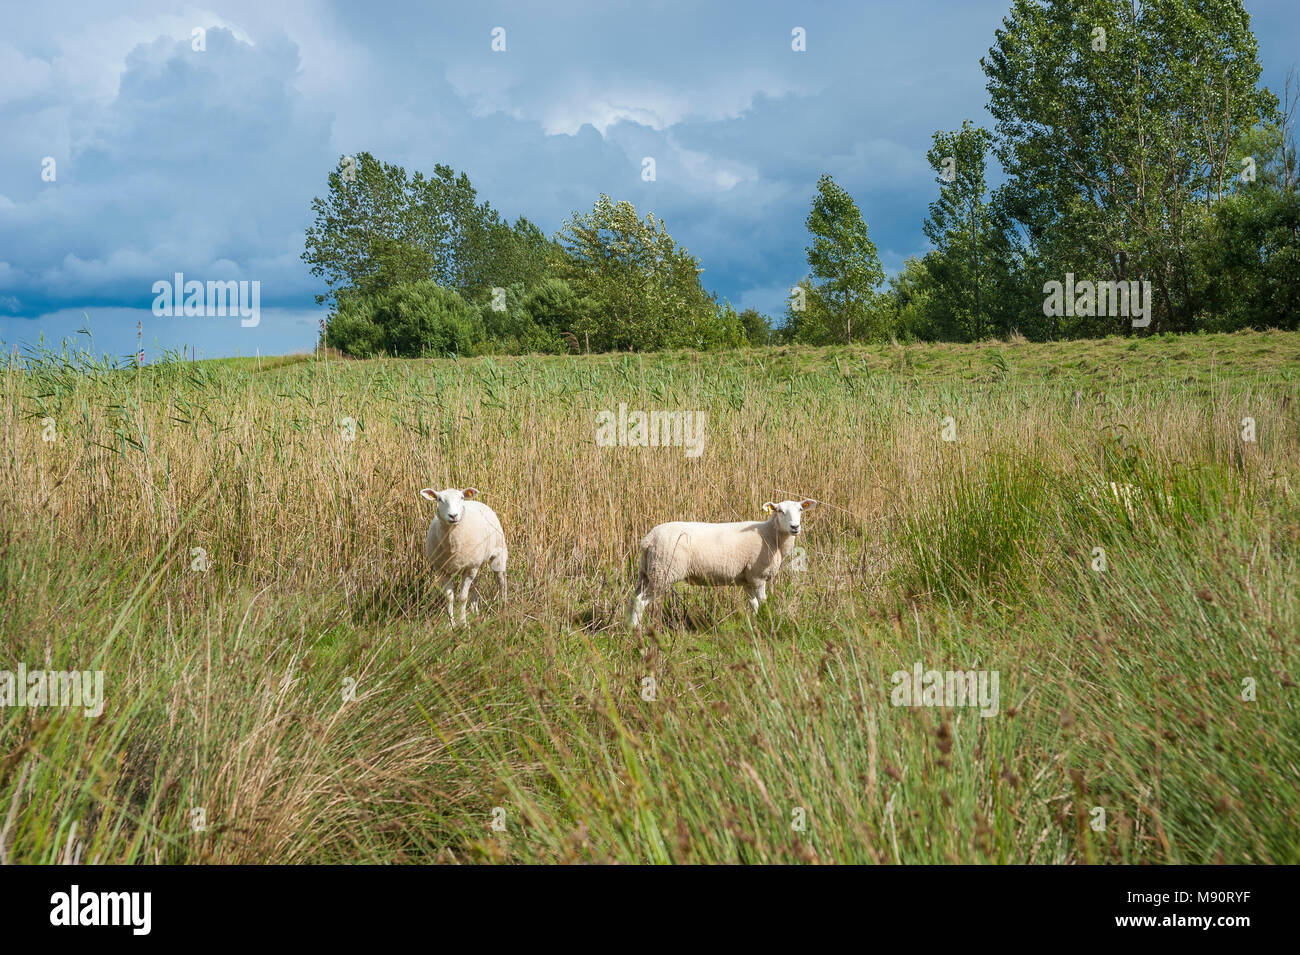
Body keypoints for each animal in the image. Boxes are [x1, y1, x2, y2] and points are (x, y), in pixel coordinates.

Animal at [419, 486, 508, 624]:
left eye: (461, 498)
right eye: (439, 499)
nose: (453, 515)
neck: (453, 544)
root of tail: (474, 501)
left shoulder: (469, 569)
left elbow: (462, 597)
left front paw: (463, 623)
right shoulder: (442, 570)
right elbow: (449, 597)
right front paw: (451, 624)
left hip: (498, 554)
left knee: (502, 580)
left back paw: (503, 606)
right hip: (476, 562)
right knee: (476, 583)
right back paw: (474, 609)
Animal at [628, 498, 817, 628]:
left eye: (800, 509)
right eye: (779, 511)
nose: (795, 527)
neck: (771, 536)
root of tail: (648, 539)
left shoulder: (747, 579)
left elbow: (753, 604)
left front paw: (754, 623)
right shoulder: (758, 576)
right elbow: (763, 601)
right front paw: (766, 620)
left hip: (647, 572)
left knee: (634, 598)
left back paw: (630, 627)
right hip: (663, 573)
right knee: (641, 602)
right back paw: (638, 630)